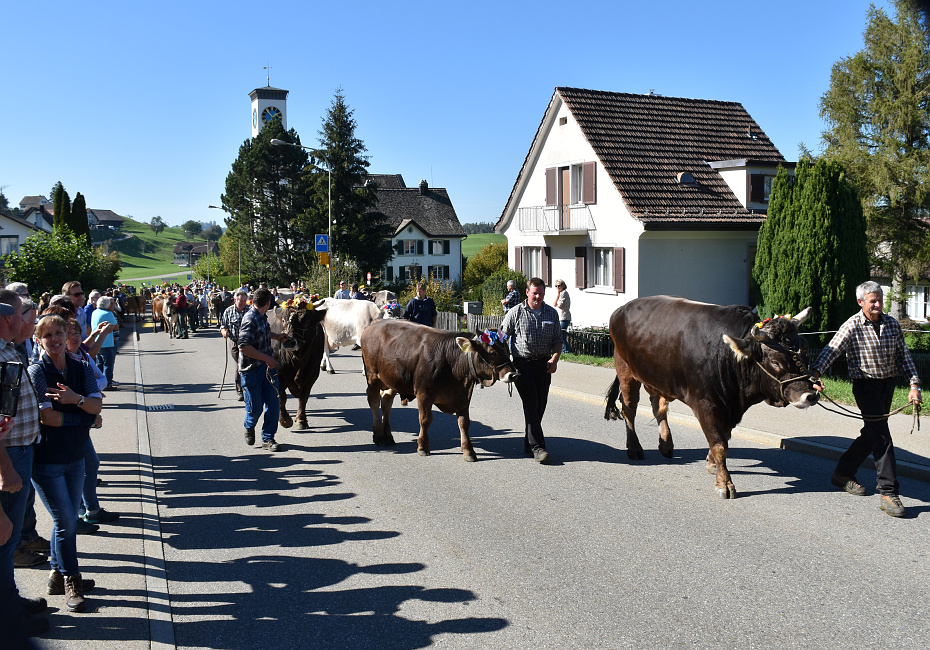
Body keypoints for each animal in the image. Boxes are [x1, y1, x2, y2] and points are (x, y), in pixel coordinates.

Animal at [360, 318, 520, 460]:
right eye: (492, 352)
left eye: (507, 350)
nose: (514, 374)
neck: (452, 363)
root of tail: (375, 323)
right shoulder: (423, 393)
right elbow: (425, 419)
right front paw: (422, 446)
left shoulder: (463, 396)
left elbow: (464, 423)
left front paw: (468, 451)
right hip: (373, 376)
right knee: (373, 400)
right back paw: (378, 436)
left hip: (392, 379)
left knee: (386, 402)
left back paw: (388, 436)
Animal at [600, 296, 812, 498]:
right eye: (776, 361)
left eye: (804, 352)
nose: (810, 395)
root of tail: (621, 309)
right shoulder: (705, 405)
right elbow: (719, 444)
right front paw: (724, 483)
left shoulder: (730, 407)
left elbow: (724, 437)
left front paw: (711, 463)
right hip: (626, 370)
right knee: (629, 409)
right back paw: (634, 448)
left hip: (657, 377)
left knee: (658, 406)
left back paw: (666, 444)